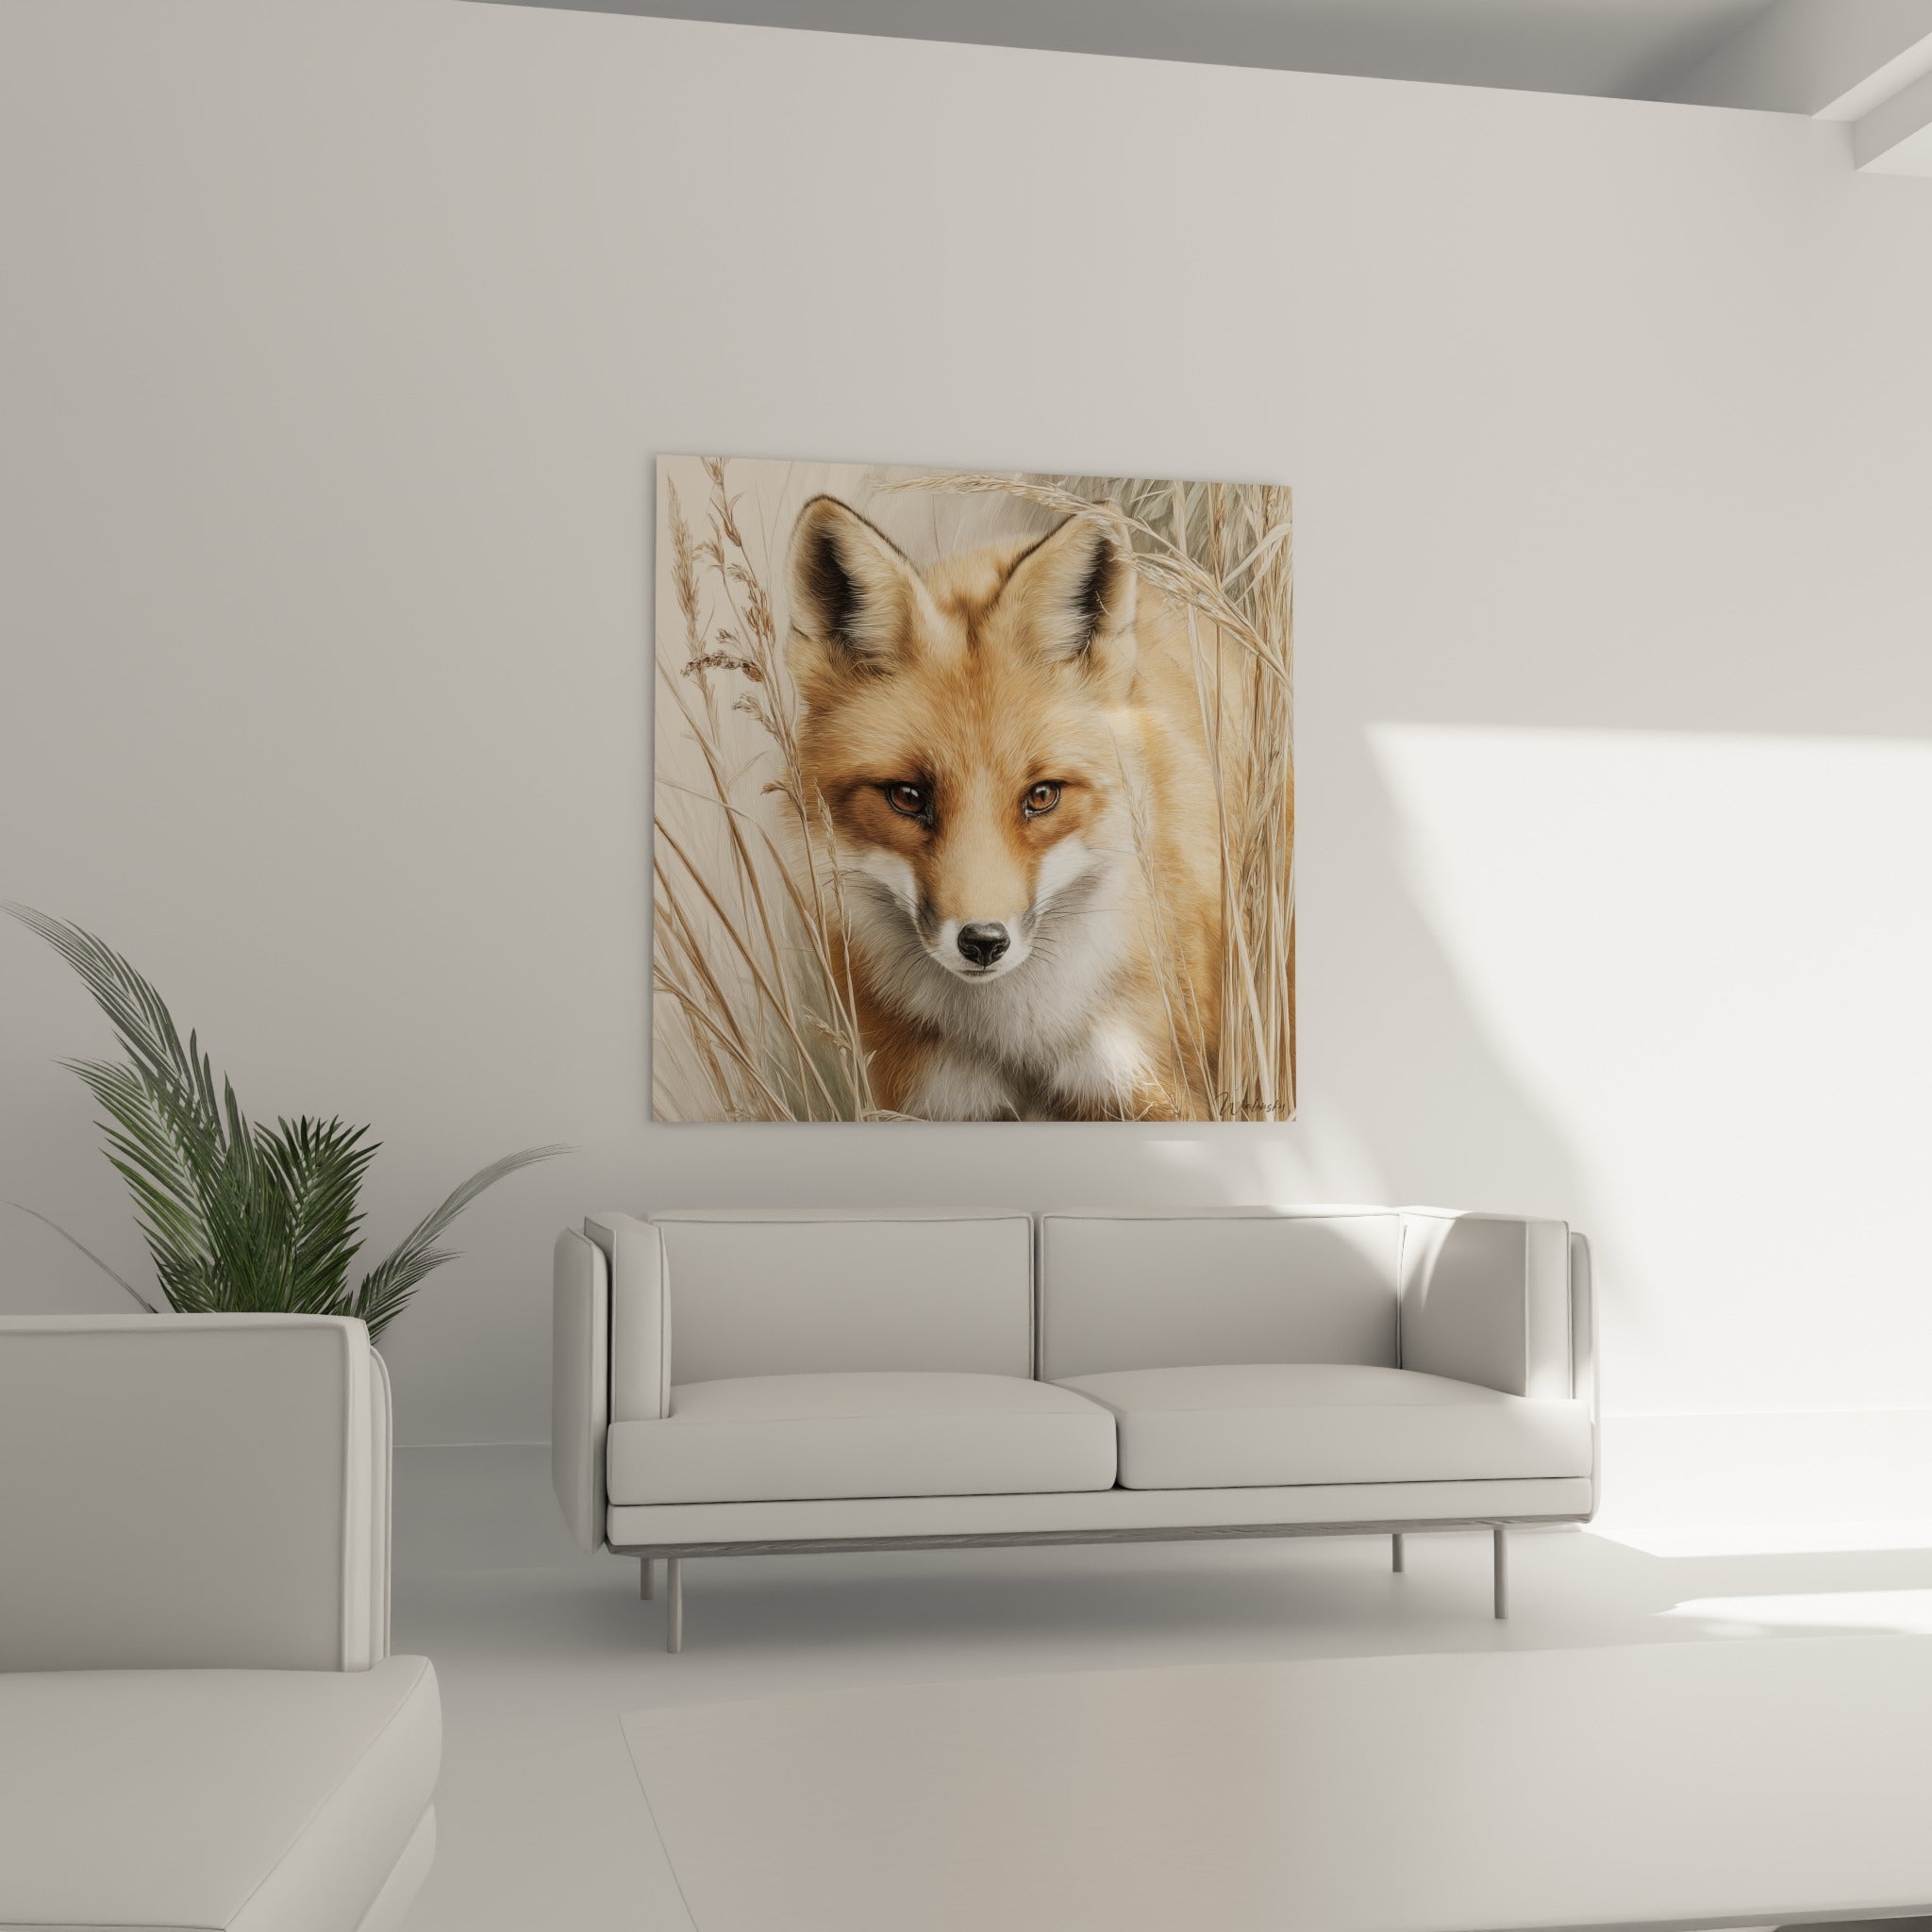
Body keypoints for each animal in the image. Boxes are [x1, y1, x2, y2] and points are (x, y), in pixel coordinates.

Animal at [785, 494, 1224, 1120]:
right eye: (908, 797)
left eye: (1041, 796)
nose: (983, 942)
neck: (1020, 1043)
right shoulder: (930, 1101)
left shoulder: (1155, 1087)